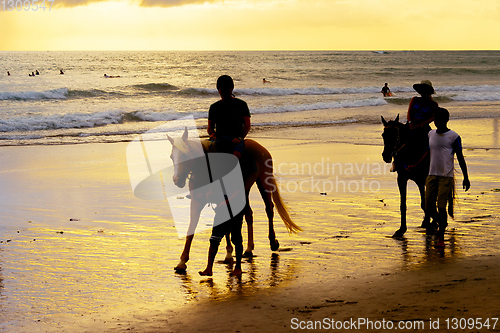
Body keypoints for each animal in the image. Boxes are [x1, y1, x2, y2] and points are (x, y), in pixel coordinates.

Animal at [168, 127, 300, 272]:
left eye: (186, 155)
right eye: (172, 157)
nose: (176, 179)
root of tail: (260, 146)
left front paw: (229, 253)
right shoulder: (197, 202)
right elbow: (191, 229)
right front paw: (182, 261)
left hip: (264, 181)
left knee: (269, 209)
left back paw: (272, 241)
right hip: (244, 191)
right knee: (249, 214)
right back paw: (249, 249)